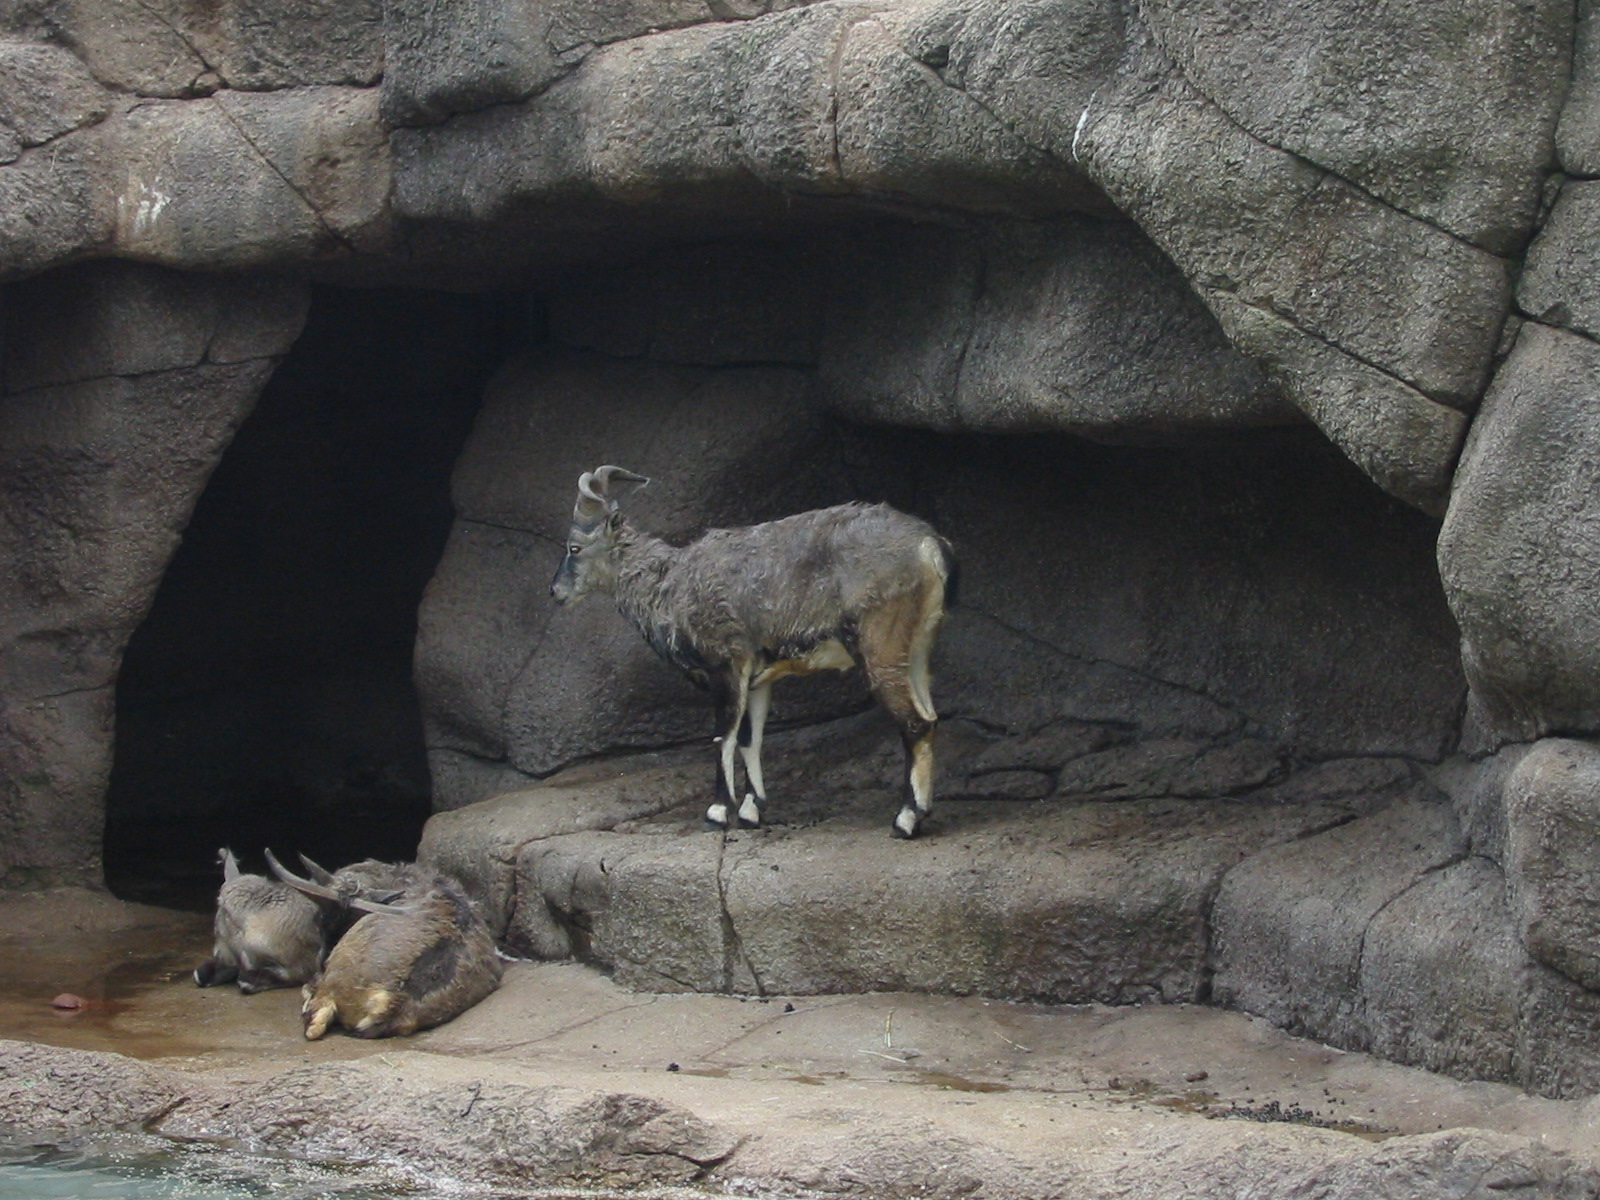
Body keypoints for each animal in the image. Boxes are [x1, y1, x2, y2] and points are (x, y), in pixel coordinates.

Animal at [550, 465, 956, 838]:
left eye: (574, 547)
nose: (556, 592)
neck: (670, 584)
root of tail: (929, 547)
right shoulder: (758, 679)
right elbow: (750, 739)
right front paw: (750, 811)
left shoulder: (726, 666)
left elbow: (723, 736)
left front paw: (717, 812)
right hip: (917, 647)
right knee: (930, 717)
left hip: (880, 645)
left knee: (915, 723)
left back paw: (906, 819)